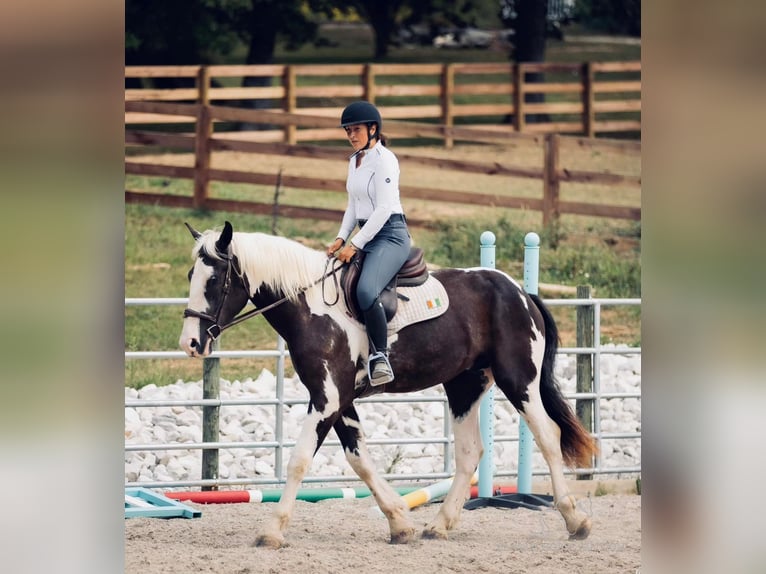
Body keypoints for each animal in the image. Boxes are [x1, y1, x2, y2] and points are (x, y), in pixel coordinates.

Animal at [180, 220, 600, 548]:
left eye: (214, 280)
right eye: (190, 276)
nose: (191, 343)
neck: (312, 309)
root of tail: (519, 292)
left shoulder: (327, 399)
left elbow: (299, 460)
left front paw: (271, 530)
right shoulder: (338, 399)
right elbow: (359, 459)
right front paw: (399, 522)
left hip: (519, 380)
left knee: (547, 436)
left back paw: (576, 520)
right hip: (464, 386)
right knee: (470, 453)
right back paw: (439, 525)